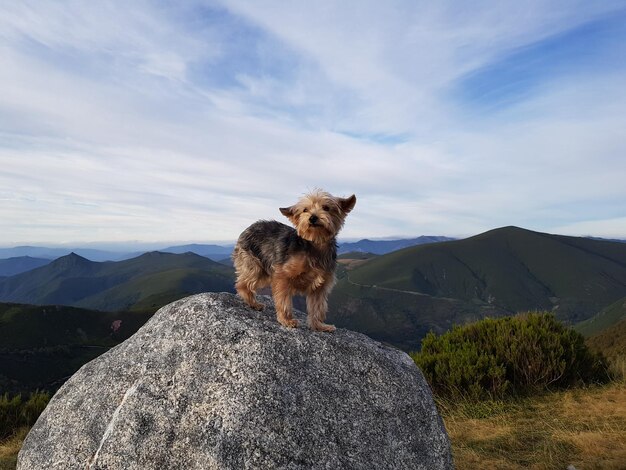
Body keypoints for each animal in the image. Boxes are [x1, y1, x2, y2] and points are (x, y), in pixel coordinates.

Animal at [230, 189, 356, 332]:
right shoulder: (283, 276)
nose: (312, 217)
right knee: (242, 284)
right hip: (255, 265)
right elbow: (283, 300)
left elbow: (318, 307)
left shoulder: (320, 287)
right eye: (305, 210)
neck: (315, 243)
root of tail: (248, 228)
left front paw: (319, 325)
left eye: (326, 208)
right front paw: (286, 320)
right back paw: (253, 303)